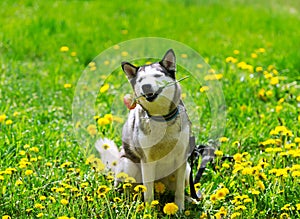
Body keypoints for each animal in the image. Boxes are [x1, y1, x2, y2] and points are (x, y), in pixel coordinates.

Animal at [96, 49, 191, 210]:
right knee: (129, 188)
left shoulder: (181, 158)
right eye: (140, 80)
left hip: (187, 170)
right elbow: (148, 191)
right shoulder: (147, 160)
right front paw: (149, 210)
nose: (146, 86)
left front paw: (180, 209)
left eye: (157, 76)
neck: (161, 117)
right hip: (128, 166)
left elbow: (179, 190)